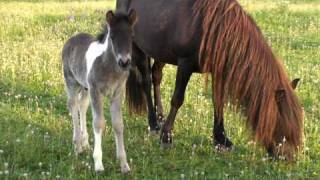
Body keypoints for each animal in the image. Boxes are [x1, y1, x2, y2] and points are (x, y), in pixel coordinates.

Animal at [62, 9, 137, 172]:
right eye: (112, 36)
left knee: (82, 105)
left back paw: (85, 143)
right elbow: (98, 123)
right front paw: (98, 163)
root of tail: (72, 38)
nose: (124, 62)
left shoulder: (117, 93)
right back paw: (77, 145)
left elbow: (118, 124)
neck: (110, 68)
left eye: (132, 36)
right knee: (73, 105)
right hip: (71, 82)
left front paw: (124, 164)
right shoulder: (96, 91)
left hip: (85, 87)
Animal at [119, 0, 304, 160]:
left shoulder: (218, 71)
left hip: (160, 52)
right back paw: (153, 124)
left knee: (156, 76)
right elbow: (177, 99)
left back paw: (160, 116)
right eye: (282, 123)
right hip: (137, 48)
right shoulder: (185, 64)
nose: (287, 158)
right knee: (146, 81)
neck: (216, 28)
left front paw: (221, 139)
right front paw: (167, 137)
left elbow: (218, 102)